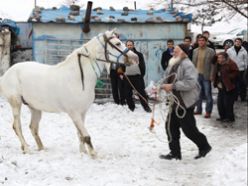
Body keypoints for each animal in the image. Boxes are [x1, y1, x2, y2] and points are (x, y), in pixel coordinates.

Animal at [0, 29, 138, 157]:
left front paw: (83, 152)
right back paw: (26, 149)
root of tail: (7, 74)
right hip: (16, 104)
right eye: (117, 43)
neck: (78, 77)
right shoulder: (74, 113)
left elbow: (80, 134)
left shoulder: (82, 112)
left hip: (35, 108)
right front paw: (93, 154)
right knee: (17, 126)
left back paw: (41, 148)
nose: (135, 58)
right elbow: (86, 135)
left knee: (33, 127)